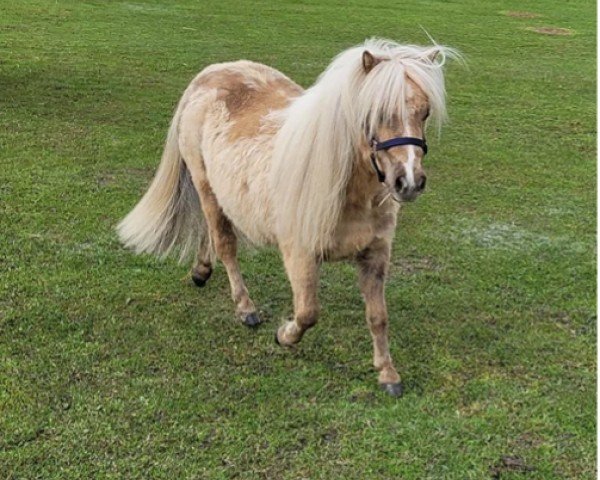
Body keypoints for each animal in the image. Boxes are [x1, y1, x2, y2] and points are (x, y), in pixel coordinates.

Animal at [117, 39, 458, 396]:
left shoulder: (375, 255)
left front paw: (388, 374)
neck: (346, 189)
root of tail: (208, 75)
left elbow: (378, 317)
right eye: (377, 112)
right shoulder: (300, 254)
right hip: (205, 185)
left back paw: (201, 271)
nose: (409, 182)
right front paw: (284, 335)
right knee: (225, 245)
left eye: (425, 111)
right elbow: (308, 313)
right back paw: (246, 308)